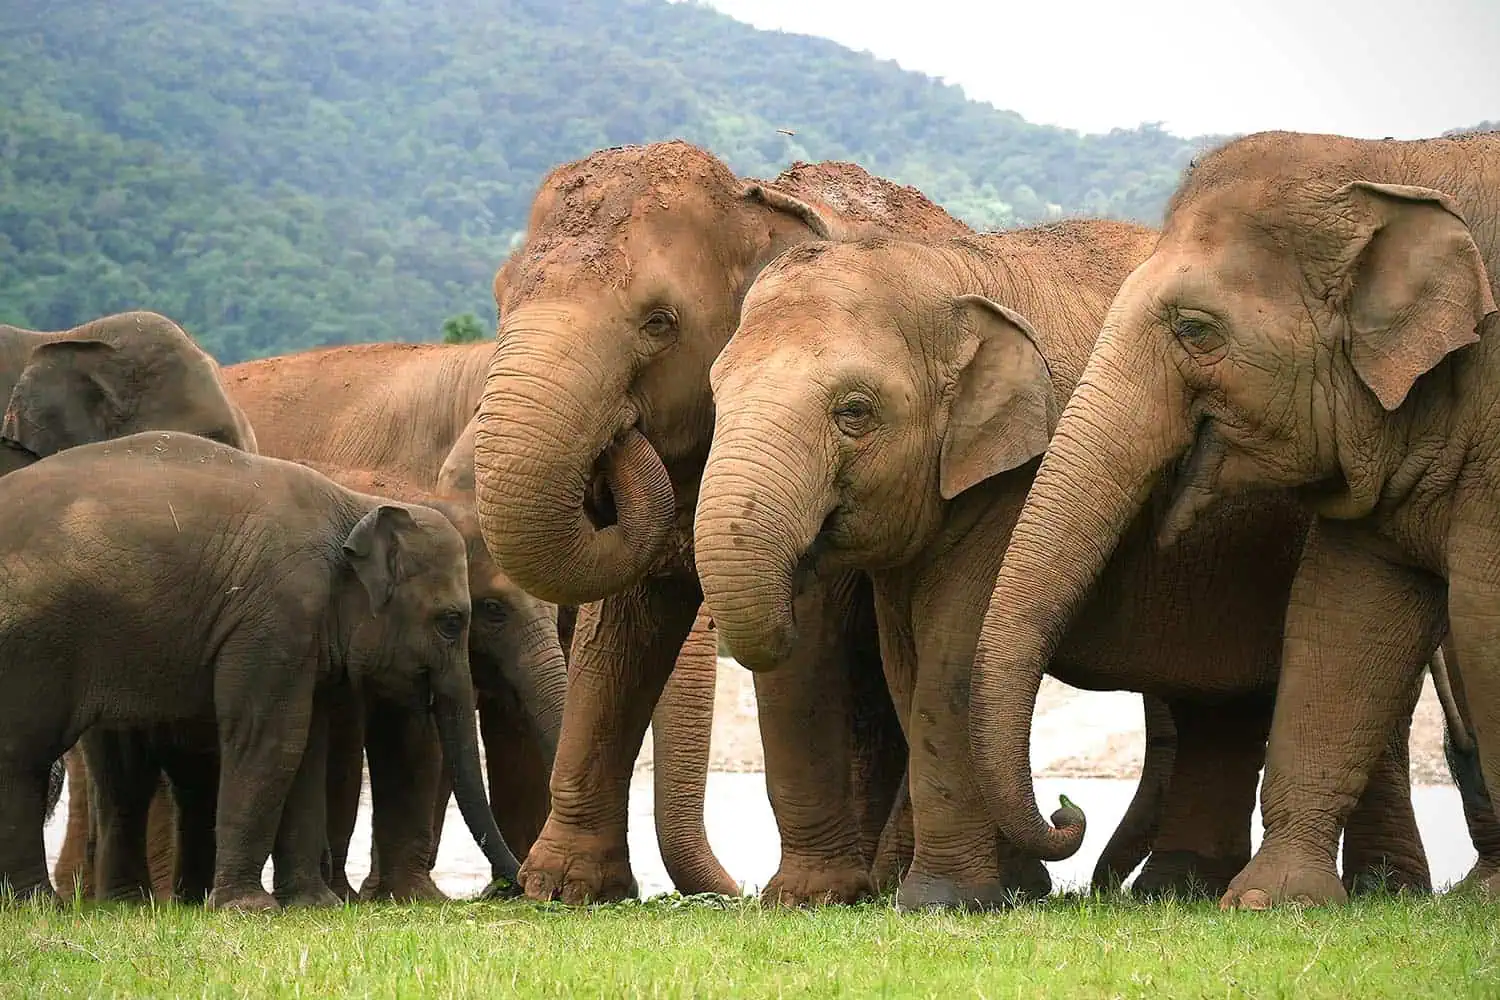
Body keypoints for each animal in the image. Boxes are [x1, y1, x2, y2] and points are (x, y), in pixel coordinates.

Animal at [0, 430, 517, 910]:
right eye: (451, 622)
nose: (517, 888)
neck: (353, 505)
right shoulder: (277, 616)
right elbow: (271, 739)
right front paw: (249, 909)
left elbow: (306, 747)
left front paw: (312, 906)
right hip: (32, 643)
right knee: (23, 758)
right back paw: (38, 903)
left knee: (119, 775)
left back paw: (118, 904)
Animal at [471, 143, 985, 904]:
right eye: (502, 298)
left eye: (659, 321)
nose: (618, 436)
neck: (757, 202)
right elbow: (616, 639)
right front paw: (564, 888)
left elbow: (804, 633)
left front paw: (808, 897)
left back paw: (880, 880)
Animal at [693, 226, 1436, 908]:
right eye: (715, 395)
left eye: (854, 412)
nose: (1066, 808)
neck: (945, 267)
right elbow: (909, 670)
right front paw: (1010, 892)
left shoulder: (1014, 483)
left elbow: (952, 665)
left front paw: (946, 903)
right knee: (1221, 705)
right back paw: (1179, 890)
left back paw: (1373, 891)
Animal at [965, 130, 1500, 909]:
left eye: (1196, 330)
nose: (1068, 810)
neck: (1392, 165)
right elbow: (1342, 613)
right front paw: (1272, 902)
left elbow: (1483, 616)